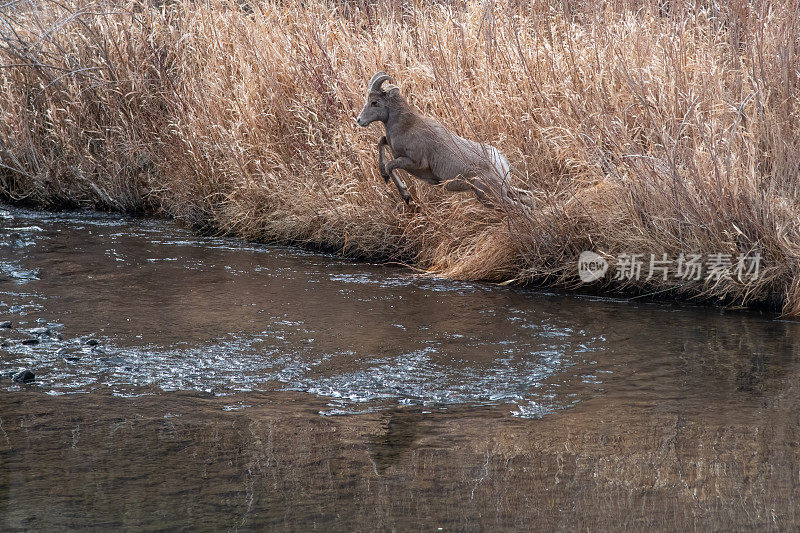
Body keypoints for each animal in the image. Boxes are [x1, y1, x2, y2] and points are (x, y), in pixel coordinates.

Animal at [356, 72, 524, 208]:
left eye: (374, 102)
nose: (359, 120)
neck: (406, 126)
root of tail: (501, 164)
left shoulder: (415, 162)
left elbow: (390, 165)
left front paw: (406, 196)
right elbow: (381, 141)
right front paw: (384, 176)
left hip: (491, 197)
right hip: (500, 193)